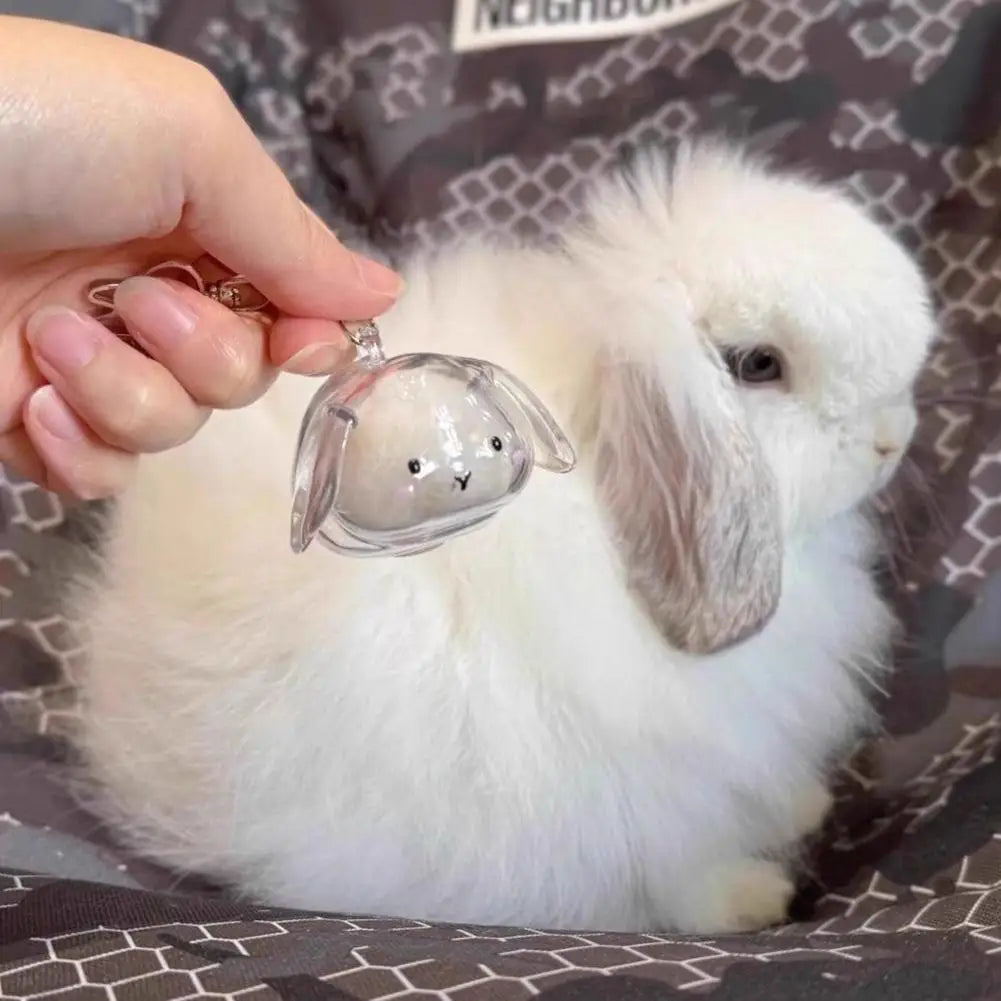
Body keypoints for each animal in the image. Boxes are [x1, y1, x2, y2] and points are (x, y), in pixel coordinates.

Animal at [68, 138, 936, 934]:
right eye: (758, 364)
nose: (892, 439)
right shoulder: (637, 799)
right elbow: (674, 875)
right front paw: (752, 899)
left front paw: (804, 804)